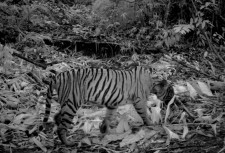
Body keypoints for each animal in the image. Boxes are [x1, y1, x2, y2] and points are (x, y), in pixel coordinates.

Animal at [41, 65, 174, 146]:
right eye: (171, 90)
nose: (173, 96)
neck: (152, 81)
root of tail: (58, 76)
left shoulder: (112, 103)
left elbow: (108, 116)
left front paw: (104, 129)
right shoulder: (139, 100)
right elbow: (145, 114)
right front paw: (151, 124)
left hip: (66, 103)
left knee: (57, 116)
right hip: (71, 103)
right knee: (62, 126)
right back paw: (67, 143)